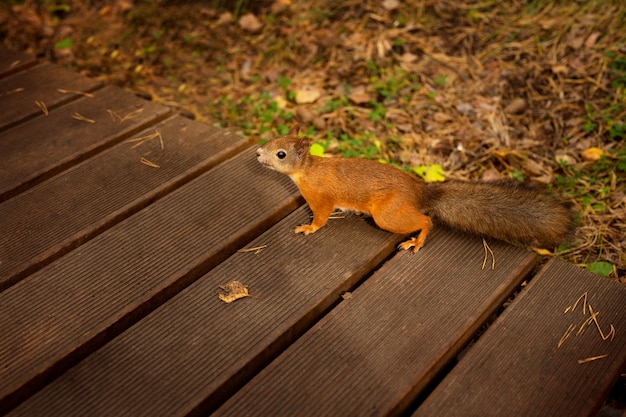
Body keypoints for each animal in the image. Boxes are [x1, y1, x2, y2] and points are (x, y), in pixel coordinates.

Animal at [256, 125, 572, 252]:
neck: (307, 170)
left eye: (281, 154)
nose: (258, 153)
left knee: (425, 220)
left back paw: (416, 242)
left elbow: (321, 217)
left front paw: (308, 228)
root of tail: (421, 192)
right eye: (272, 139)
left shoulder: (321, 198)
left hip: (387, 215)